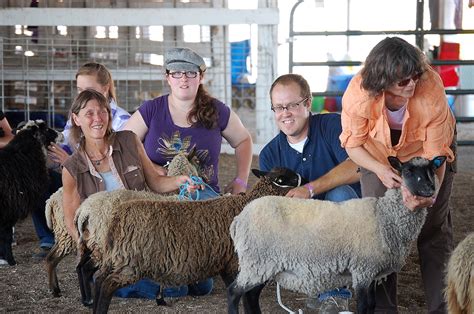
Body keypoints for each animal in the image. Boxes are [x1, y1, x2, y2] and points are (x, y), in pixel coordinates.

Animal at [89, 168, 306, 312]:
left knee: (98, 278)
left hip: (116, 258)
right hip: (131, 262)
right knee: (107, 284)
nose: (303, 177)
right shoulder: (238, 265)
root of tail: (117, 216)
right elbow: (247, 298)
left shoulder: (228, 266)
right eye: (282, 179)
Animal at [228, 156, 446, 312]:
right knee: (234, 292)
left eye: (432, 170)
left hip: (264, 264)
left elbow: (372, 305)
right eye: (408, 171)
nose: (430, 189)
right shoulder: (363, 270)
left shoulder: (372, 272)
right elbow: (364, 307)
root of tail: (239, 219)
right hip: (258, 262)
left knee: (250, 296)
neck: (384, 216)